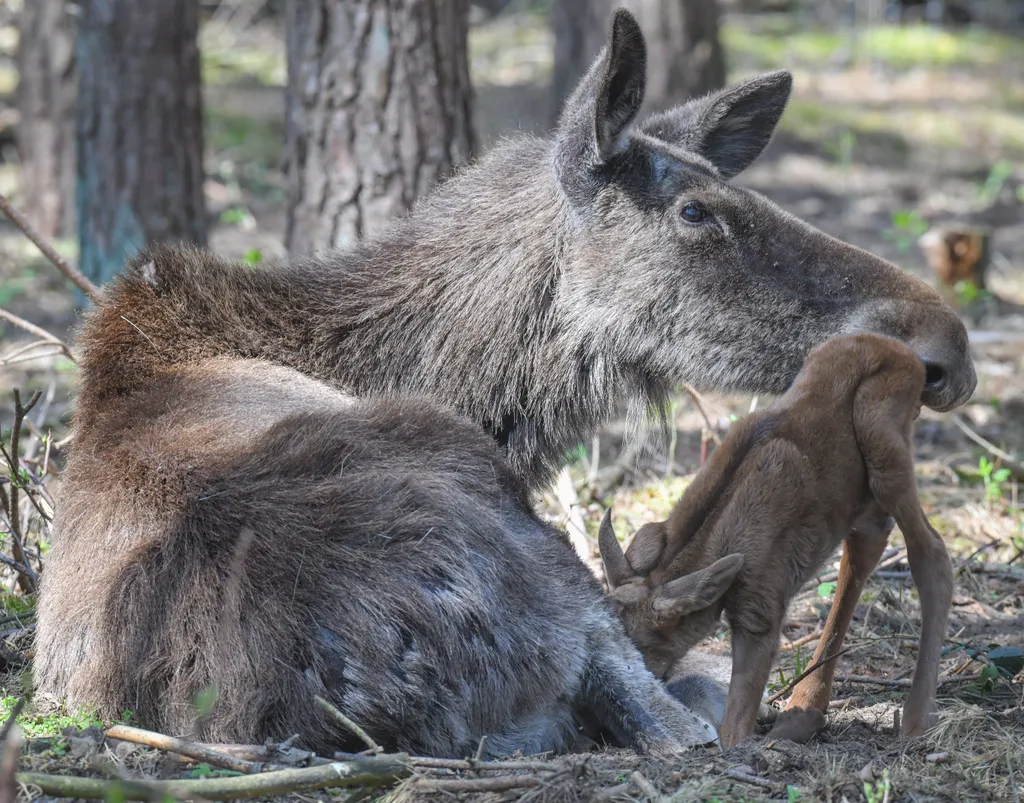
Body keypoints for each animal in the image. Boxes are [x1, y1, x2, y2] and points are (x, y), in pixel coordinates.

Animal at [598, 331, 950, 745]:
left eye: (639, 648)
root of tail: (912, 359)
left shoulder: (761, 607)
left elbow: (735, 729)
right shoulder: (649, 540)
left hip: (882, 440)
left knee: (931, 551)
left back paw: (915, 718)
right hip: (861, 496)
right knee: (868, 543)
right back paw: (804, 713)